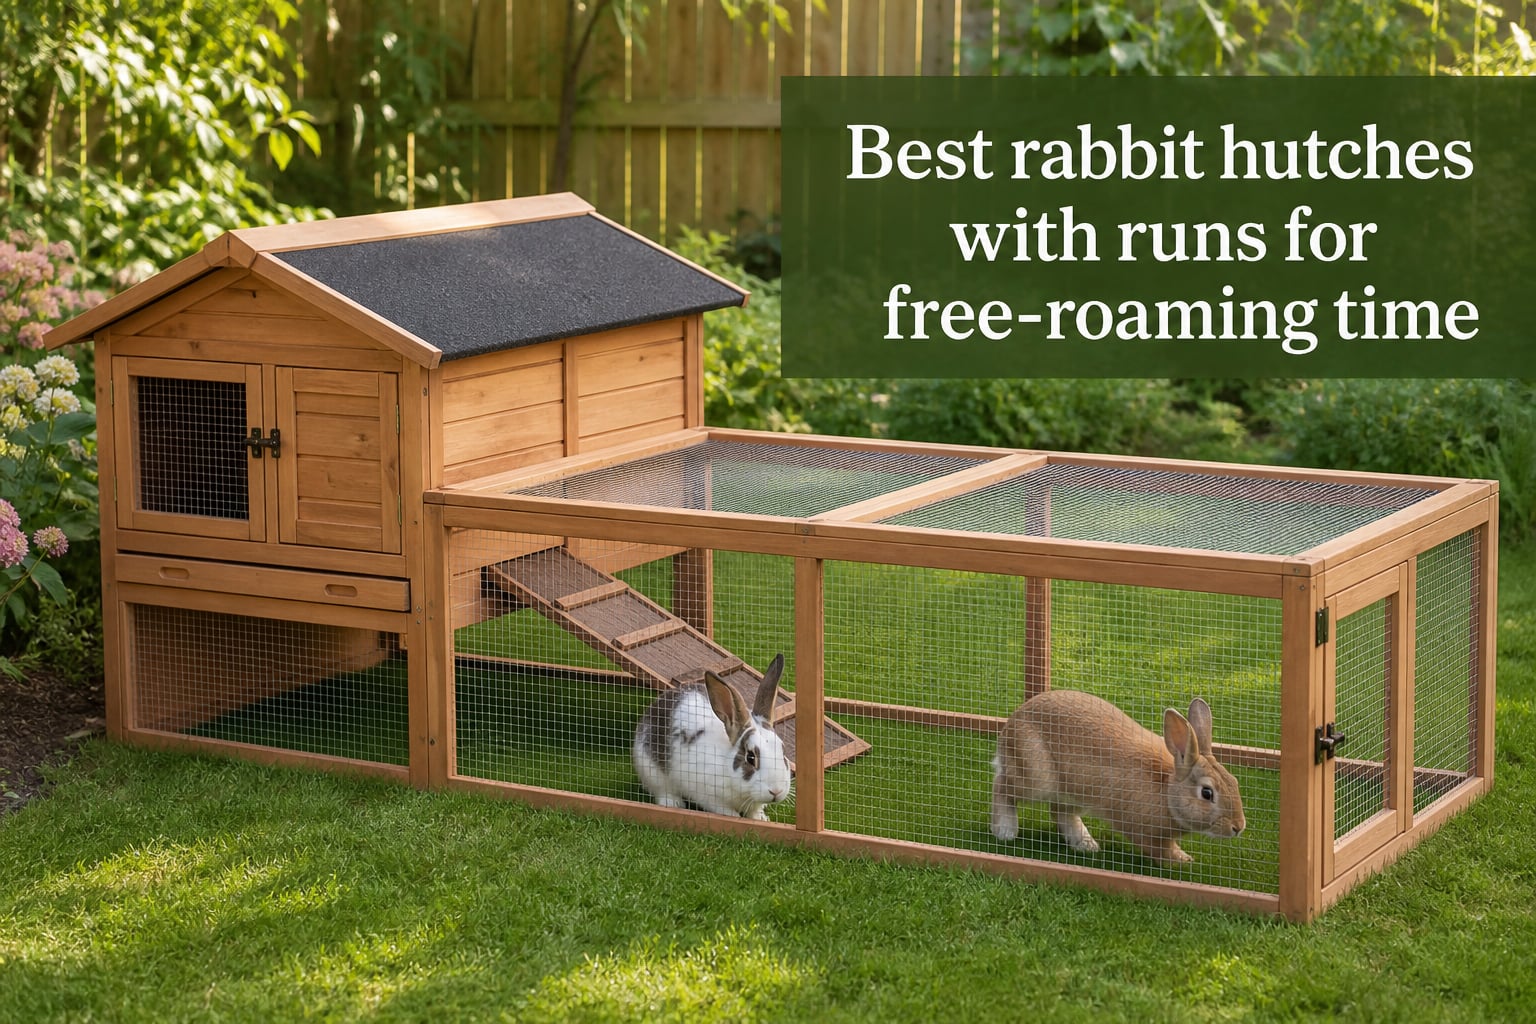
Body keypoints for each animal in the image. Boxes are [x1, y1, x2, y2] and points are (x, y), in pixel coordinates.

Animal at [633, 654, 792, 820]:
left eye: (783, 753)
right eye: (750, 757)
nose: (776, 791)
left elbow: (755, 811)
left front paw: (760, 818)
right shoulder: (710, 796)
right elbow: (725, 811)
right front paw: (735, 817)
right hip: (651, 770)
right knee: (662, 790)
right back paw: (673, 803)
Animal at [989, 689, 1245, 864]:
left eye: (1234, 782)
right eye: (1207, 793)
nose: (1238, 827)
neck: (1167, 790)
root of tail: (1011, 724)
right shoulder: (1143, 831)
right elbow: (1161, 849)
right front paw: (1183, 860)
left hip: (1076, 791)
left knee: (1061, 812)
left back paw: (1086, 844)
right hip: (1036, 779)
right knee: (1002, 786)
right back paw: (1005, 831)